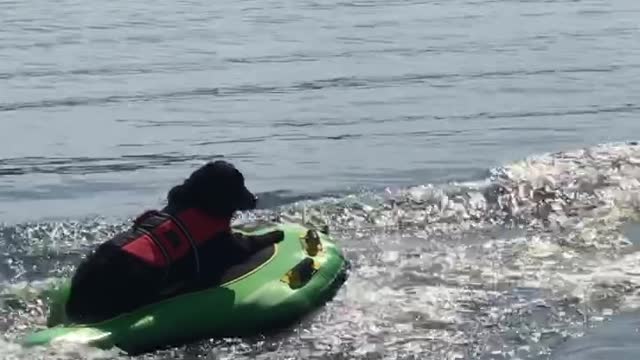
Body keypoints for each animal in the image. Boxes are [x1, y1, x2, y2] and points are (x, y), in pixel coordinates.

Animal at [66, 160, 284, 324]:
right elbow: (249, 241)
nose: (255, 199)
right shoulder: (228, 247)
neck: (200, 204)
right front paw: (276, 233)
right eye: (237, 185)